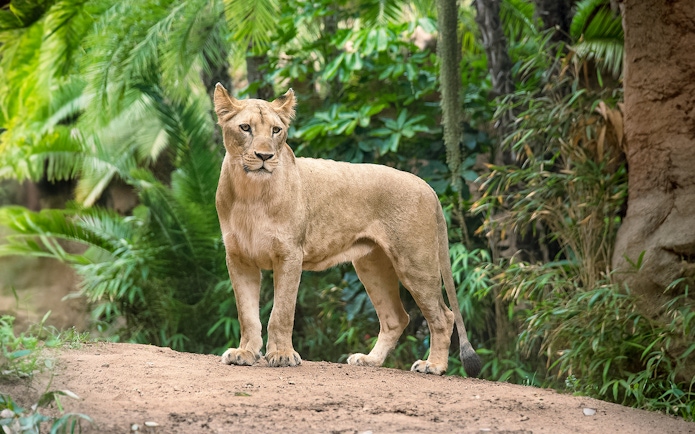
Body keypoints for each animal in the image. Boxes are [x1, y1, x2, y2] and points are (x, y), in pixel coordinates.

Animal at [213, 83, 481, 377]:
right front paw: (245, 353)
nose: (265, 156)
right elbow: (247, 313)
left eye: (276, 130)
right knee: (396, 318)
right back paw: (370, 360)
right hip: (372, 265)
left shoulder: (289, 254)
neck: (250, 192)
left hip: (415, 262)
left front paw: (282, 355)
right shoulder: (239, 257)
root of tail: (427, 186)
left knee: (443, 315)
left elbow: (281, 312)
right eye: (245, 128)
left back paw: (433, 365)